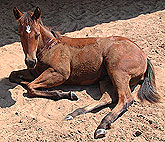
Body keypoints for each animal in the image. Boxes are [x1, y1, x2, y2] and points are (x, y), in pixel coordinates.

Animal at [9, 6, 160, 139]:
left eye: (37, 35)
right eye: (20, 34)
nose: (30, 61)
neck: (50, 47)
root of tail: (143, 55)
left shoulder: (60, 73)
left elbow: (30, 87)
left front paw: (62, 93)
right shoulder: (35, 72)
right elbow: (14, 76)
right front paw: (65, 94)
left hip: (117, 72)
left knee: (125, 99)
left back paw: (102, 126)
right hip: (106, 79)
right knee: (108, 98)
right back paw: (75, 113)